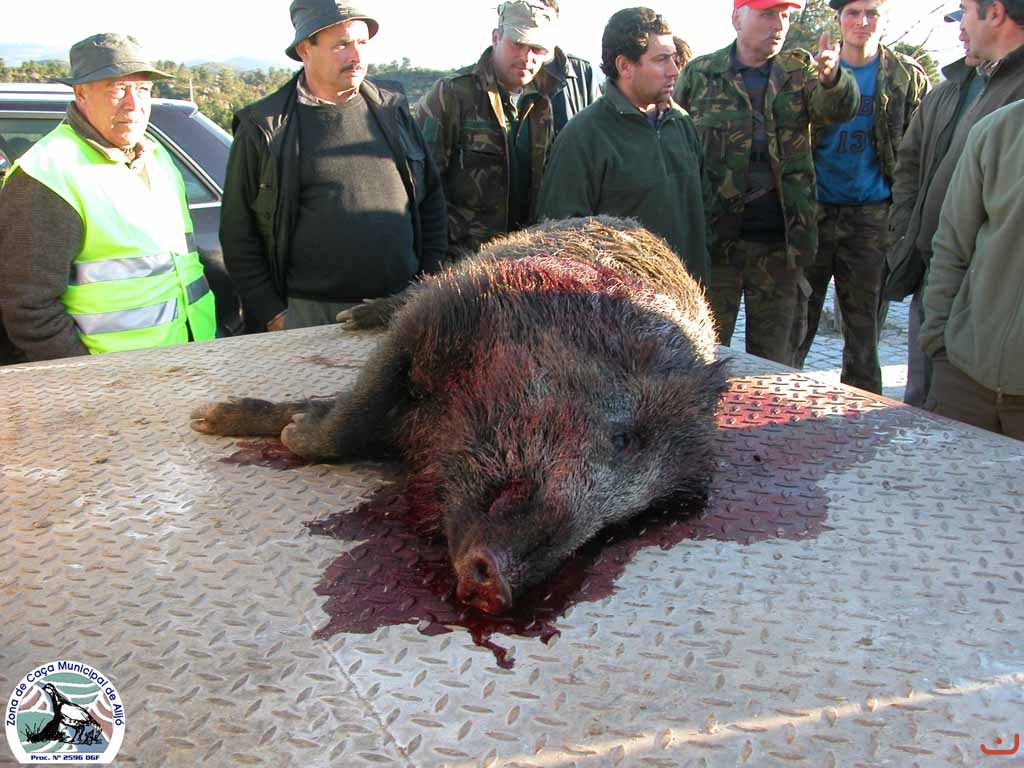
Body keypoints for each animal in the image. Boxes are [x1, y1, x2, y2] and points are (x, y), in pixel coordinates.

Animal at [191, 217, 729, 614]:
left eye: (625, 522)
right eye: (623, 439)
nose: (500, 589)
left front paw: (267, 421)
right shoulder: (442, 310)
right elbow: (356, 410)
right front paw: (225, 422)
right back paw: (351, 318)